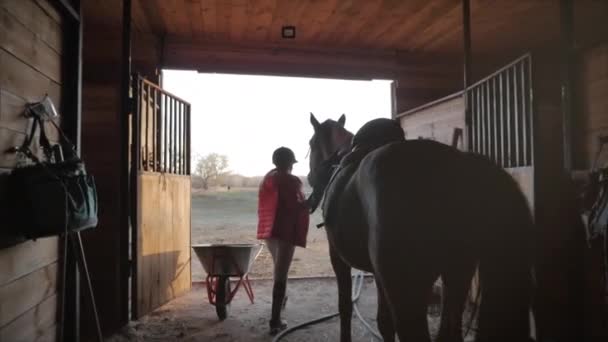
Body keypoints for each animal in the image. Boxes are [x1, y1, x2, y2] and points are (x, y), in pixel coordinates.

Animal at [306, 113, 536, 340]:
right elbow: (384, 323)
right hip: (456, 277)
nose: (309, 178)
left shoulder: (338, 258)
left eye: (311, 143)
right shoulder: (379, 275)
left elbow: (346, 308)